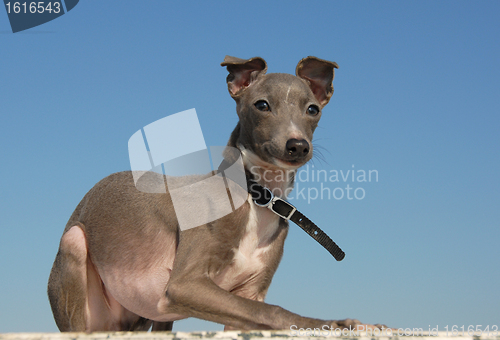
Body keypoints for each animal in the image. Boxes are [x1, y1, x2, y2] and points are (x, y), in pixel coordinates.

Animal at [48, 55, 374, 332]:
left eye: (312, 110)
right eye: (262, 105)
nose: (297, 146)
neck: (257, 197)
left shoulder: (250, 292)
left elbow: (256, 314)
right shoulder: (184, 285)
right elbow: (273, 311)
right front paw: (332, 323)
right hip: (74, 248)